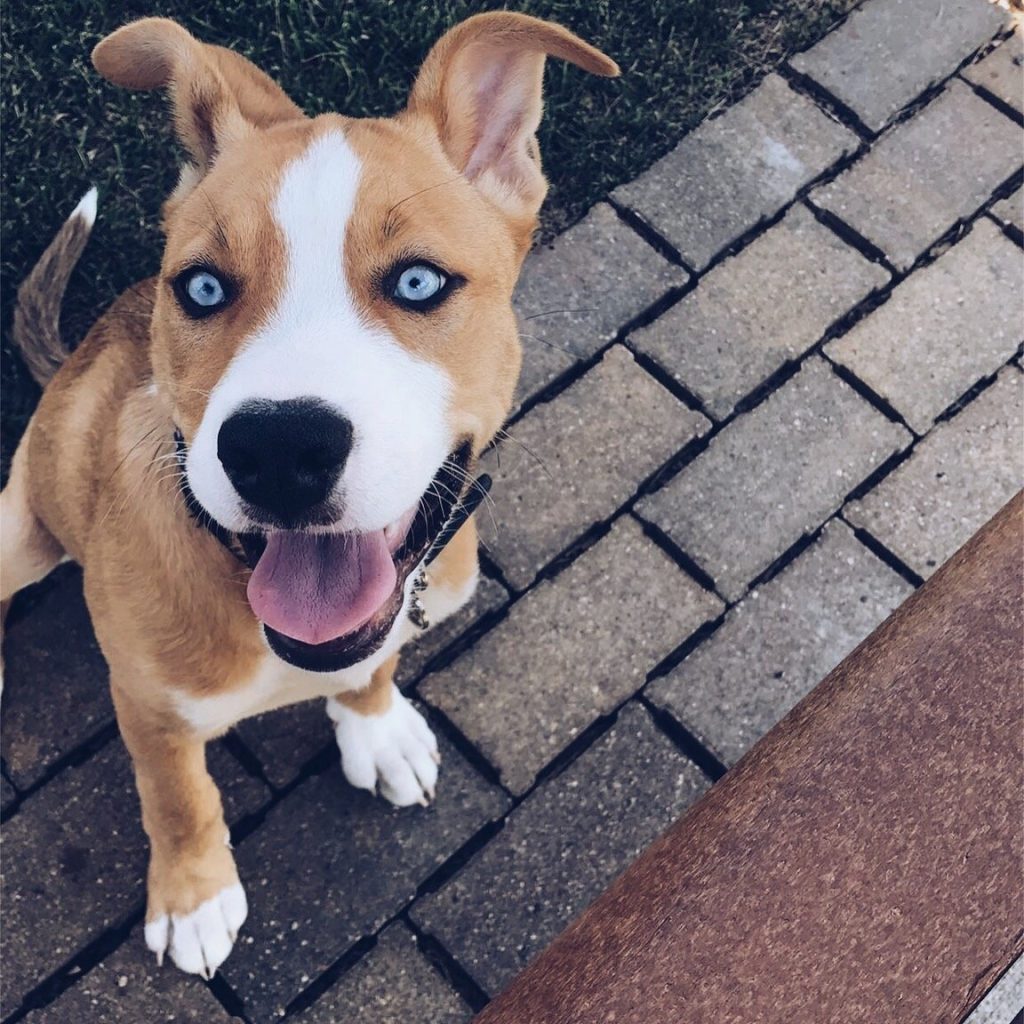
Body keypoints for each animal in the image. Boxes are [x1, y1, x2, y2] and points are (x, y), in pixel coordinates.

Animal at [2, 14, 614, 974]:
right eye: (202, 287)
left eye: (418, 281)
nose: (279, 450)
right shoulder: (145, 702)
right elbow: (177, 797)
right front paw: (193, 897)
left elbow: (374, 662)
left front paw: (377, 727)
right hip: (20, 525)